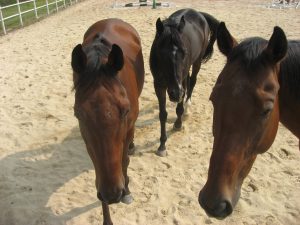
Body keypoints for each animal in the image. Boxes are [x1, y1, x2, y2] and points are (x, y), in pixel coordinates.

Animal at [71, 18, 144, 224]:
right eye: (78, 114)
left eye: (125, 110)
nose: (112, 195)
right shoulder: (89, 142)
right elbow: (98, 170)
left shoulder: (128, 127)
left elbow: (124, 161)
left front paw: (127, 192)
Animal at [149, 8, 218, 156]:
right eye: (161, 54)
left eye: (184, 52)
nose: (175, 94)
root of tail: (199, 13)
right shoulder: (158, 85)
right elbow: (162, 114)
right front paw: (162, 145)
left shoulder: (179, 84)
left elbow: (179, 106)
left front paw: (178, 124)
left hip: (196, 63)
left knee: (192, 81)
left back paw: (187, 107)